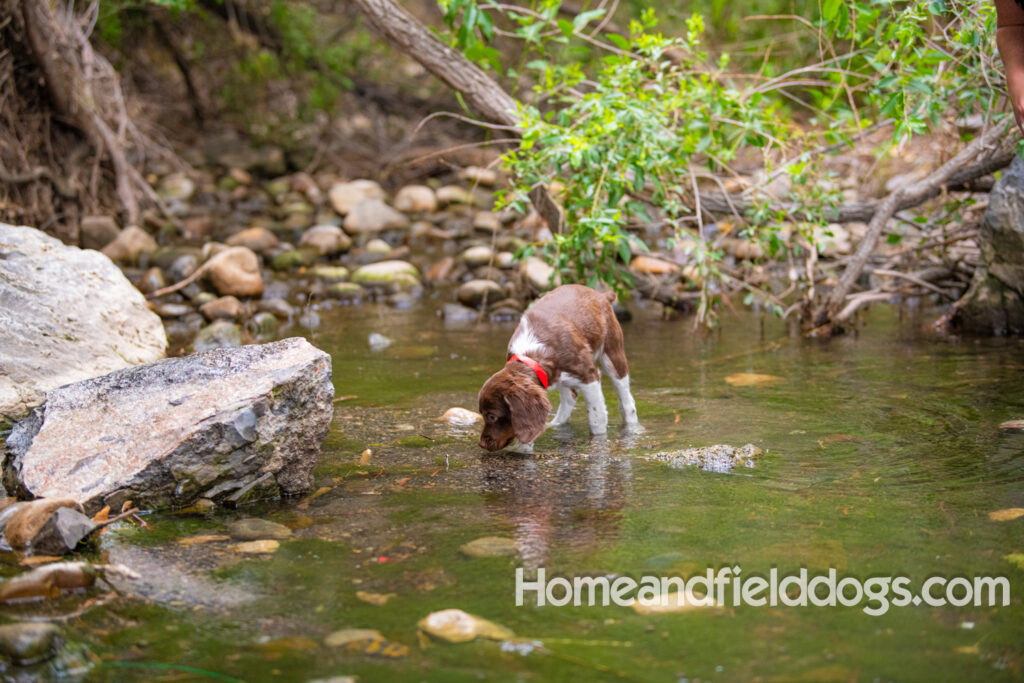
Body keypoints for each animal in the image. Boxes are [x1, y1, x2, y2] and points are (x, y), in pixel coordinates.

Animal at [475, 284, 634, 454]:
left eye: (492, 416)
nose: (481, 444)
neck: (533, 353)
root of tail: (602, 295)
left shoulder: (589, 377)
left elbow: (597, 417)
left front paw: (597, 443)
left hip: (613, 353)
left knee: (626, 400)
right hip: (564, 379)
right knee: (569, 397)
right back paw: (555, 425)